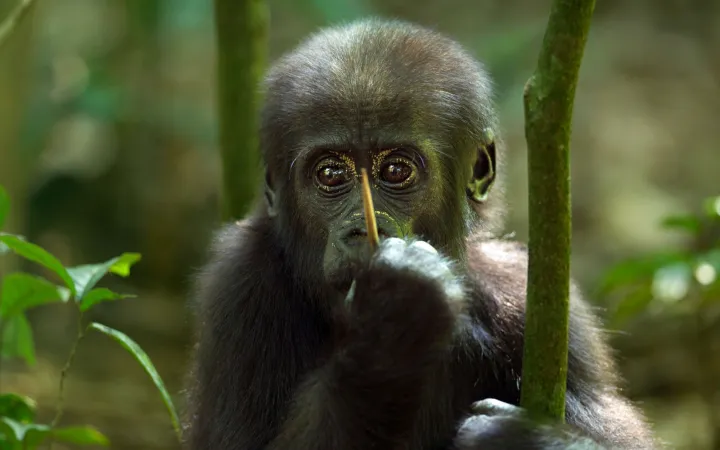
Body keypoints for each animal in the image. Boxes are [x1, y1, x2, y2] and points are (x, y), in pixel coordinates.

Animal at [184, 19, 658, 449]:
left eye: (396, 170)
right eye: (331, 174)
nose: (363, 231)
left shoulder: (534, 302)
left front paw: (530, 439)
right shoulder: (239, 284)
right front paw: (391, 329)